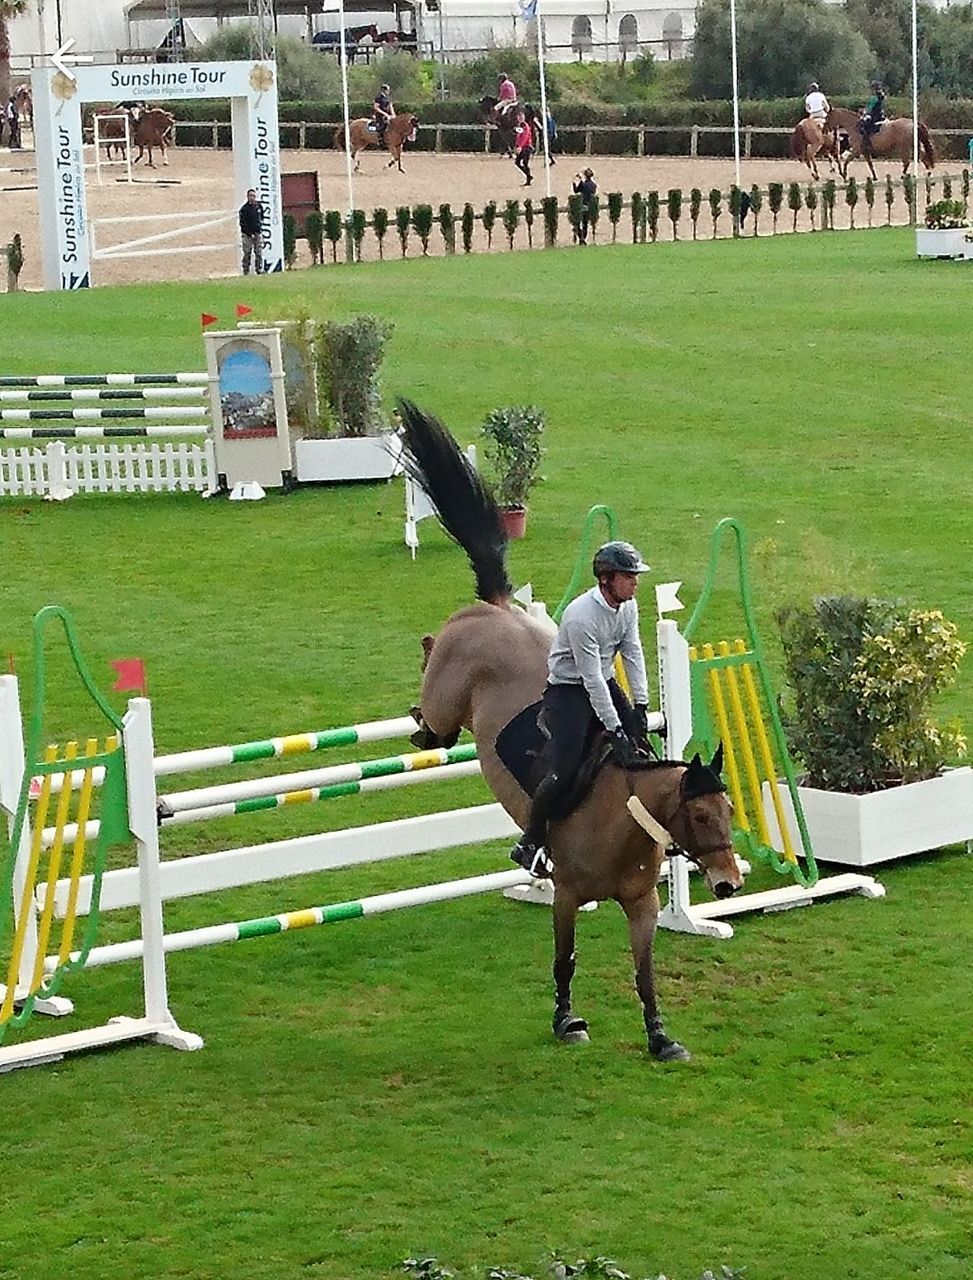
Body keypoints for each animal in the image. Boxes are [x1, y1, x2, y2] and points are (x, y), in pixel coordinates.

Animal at [396, 399, 742, 1059]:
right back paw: (419, 712)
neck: (622, 818)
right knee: (436, 706)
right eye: (700, 814)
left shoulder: (640, 905)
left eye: (730, 811)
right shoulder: (566, 896)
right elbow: (565, 961)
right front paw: (566, 1021)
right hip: (449, 696)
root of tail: (497, 608)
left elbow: (644, 973)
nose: (730, 883)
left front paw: (661, 1037)